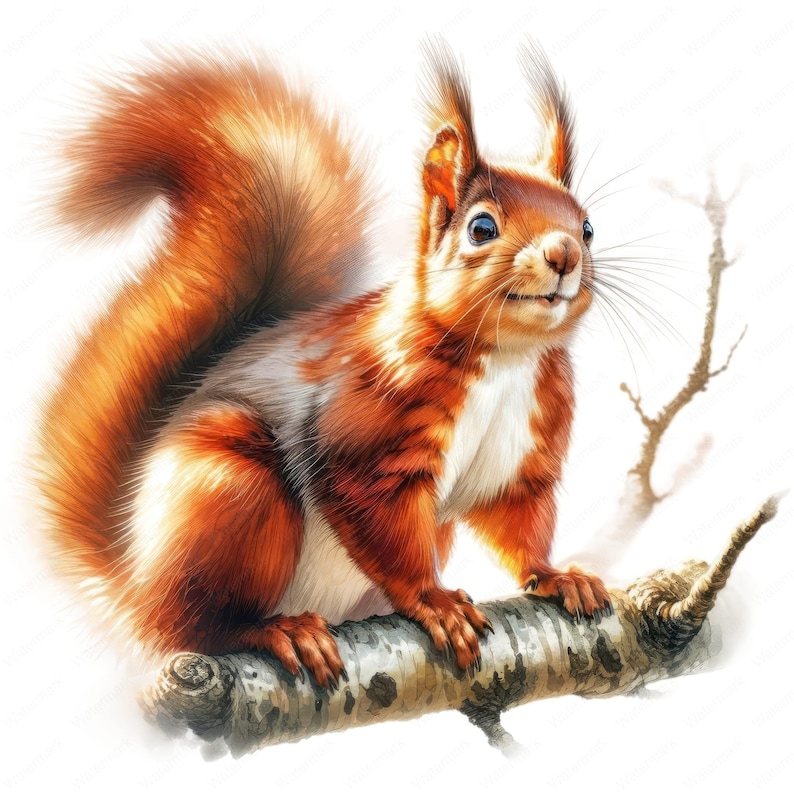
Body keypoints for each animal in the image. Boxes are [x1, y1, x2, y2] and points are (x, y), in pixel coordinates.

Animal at [35, 43, 610, 688]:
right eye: (481, 227)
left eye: (588, 225)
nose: (564, 254)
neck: (506, 361)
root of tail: (133, 585)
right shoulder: (365, 426)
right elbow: (376, 518)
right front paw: (434, 601)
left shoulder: (523, 455)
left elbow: (517, 520)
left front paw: (559, 576)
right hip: (229, 492)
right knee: (190, 627)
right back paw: (273, 630)